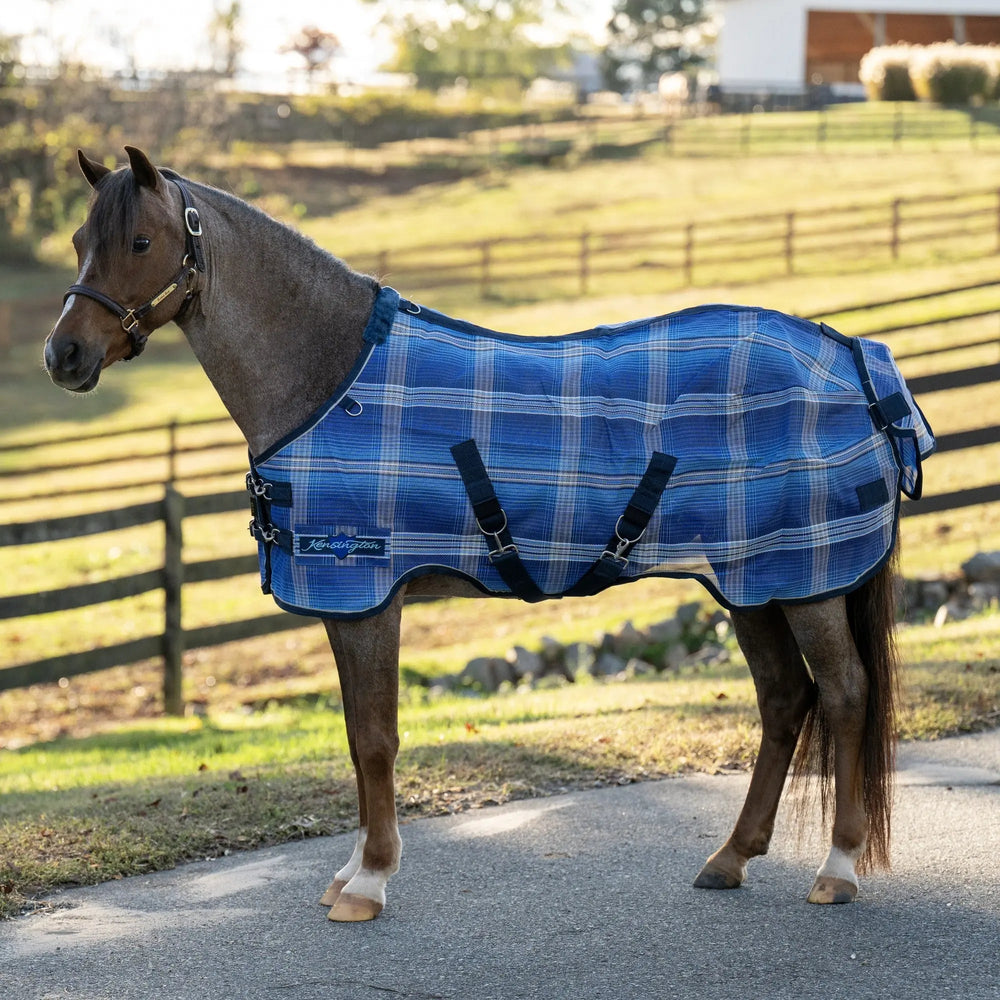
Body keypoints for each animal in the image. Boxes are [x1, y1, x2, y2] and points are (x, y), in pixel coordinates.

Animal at [44, 147, 934, 922]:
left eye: (141, 241)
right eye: (82, 241)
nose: (65, 356)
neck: (328, 378)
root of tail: (857, 358)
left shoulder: (370, 597)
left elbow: (376, 739)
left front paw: (370, 882)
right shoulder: (340, 601)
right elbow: (354, 736)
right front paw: (350, 871)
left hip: (807, 581)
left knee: (844, 695)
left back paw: (837, 868)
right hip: (751, 582)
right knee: (786, 699)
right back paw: (730, 856)